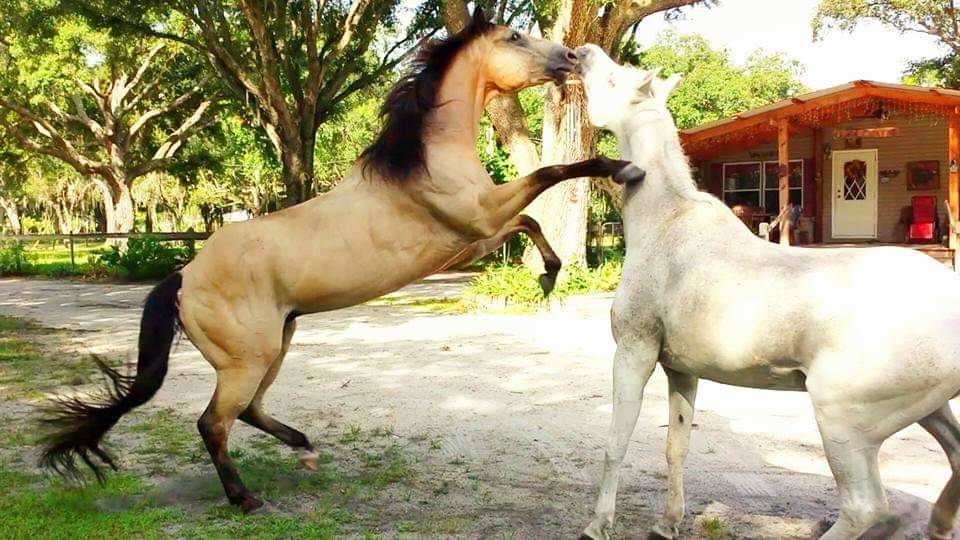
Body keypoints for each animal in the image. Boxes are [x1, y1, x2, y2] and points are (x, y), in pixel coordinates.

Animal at [38, 10, 644, 514]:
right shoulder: (479, 220)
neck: (423, 161)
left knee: (249, 411)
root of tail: (184, 277)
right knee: (214, 422)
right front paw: (614, 177)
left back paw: (305, 448)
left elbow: (534, 216)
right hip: (248, 358)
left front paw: (548, 273)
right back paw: (244, 499)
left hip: (278, 342)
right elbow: (549, 179)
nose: (570, 58)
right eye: (514, 37)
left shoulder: (477, 236)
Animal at [575, 44, 960, 540]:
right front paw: (667, 522)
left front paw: (598, 523)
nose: (582, 52)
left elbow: (615, 444)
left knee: (866, 507)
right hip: (929, 410)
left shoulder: (633, 354)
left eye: (615, 80)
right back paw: (939, 524)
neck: (665, 220)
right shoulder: (681, 370)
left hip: (843, 422)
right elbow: (675, 446)